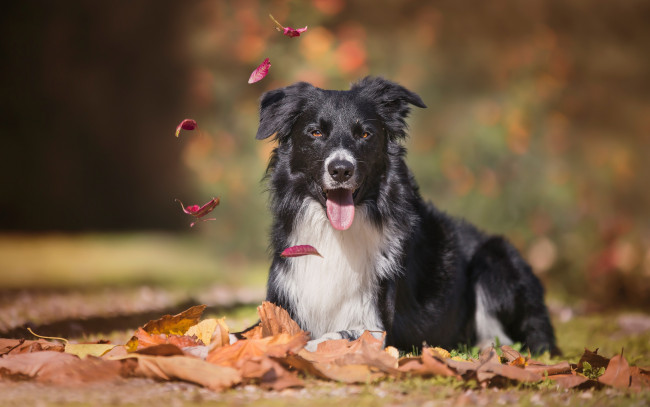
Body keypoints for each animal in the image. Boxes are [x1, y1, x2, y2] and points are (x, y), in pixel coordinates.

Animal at [253, 77, 556, 356]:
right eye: (315, 133)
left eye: (365, 135)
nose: (341, 170)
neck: (334, 234)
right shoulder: (283, 301)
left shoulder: (375, 325)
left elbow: (330, 338)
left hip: (495, 257)